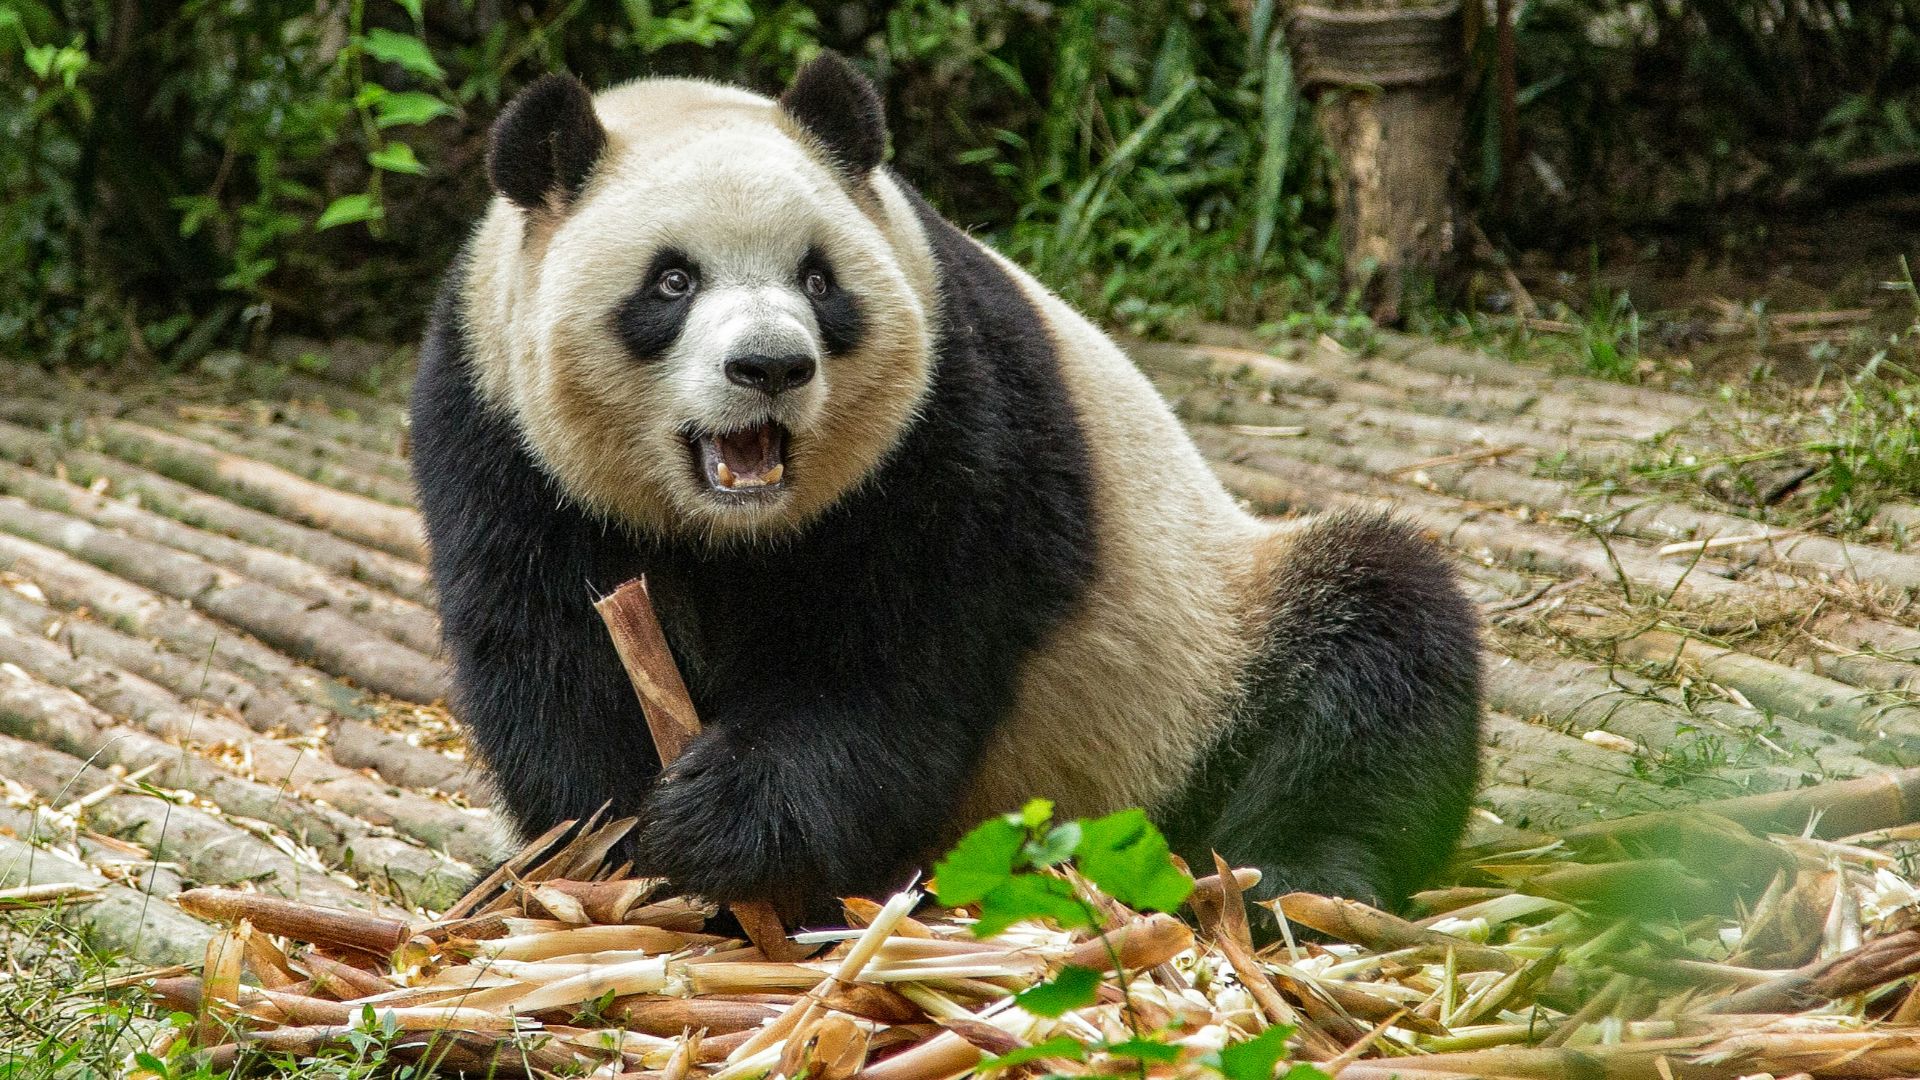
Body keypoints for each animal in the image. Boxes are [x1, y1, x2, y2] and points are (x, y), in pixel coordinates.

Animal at [410, 53, 1483, 923]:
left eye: (819, 281)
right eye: (671, 282)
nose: (771, 367)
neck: (735, 530)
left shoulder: (953, 419)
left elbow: (903, 661)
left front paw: (721, 821)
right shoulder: (496, 432)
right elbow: (549, 650)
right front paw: (609, 852)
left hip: (1204, 659)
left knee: (1376, 650)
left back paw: (1301, 882)